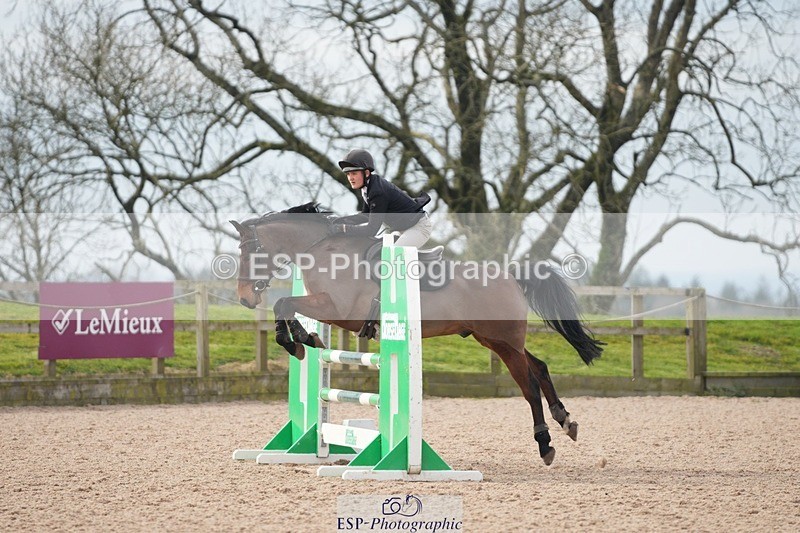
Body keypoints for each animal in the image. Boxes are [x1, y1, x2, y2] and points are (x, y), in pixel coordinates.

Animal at [230, 203, 604, 465]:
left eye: (251, 251)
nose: (245, 299)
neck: (323, 250)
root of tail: (511, 274)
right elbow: (287, 307)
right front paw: (305, 340)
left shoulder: (335, 308)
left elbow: (284, 303)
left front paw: (299, 343)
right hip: (495, 339)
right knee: (539, 367)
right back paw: (565, 421)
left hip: (504, 342)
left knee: (528, 386)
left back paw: (545, 444)